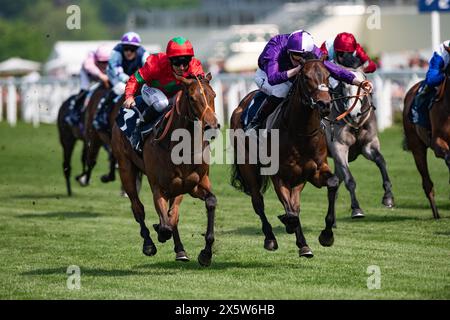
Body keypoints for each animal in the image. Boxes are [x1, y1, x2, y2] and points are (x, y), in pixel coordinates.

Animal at [110, 74, 220, 266]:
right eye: (192, 98)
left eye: (213, 95)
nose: (212, 126)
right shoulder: (159, 187)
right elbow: (165, 222)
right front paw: (160, 232)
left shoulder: (193, 184)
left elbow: (208, 202)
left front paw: (206, 253)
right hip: (125, 168)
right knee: (137, 207)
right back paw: (149, 243)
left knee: (172, 215)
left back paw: (180, 249)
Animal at [232, 56, 338, 258]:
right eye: (305, 77)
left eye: (328, 75)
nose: (325, 104)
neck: (301, 132)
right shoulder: (278, 176)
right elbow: (289, 210)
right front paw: (290, 227)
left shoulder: (315, 171)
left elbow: (333, 183)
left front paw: (326, 235)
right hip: (248, 167)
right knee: (258, 203)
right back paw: (270, 238)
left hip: (298, 179)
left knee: (294, 205)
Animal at [324, 68, 394, 220]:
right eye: (344, 85)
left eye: (363, 86)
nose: (355, 113)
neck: (355, 124)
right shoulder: (339, 148)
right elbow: (349, 180)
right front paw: (356, 208)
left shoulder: (369, 145)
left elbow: (381, 161)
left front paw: (388, 197)